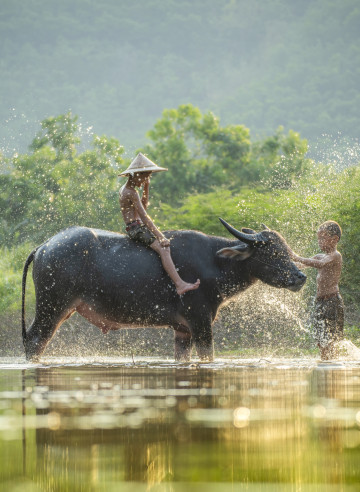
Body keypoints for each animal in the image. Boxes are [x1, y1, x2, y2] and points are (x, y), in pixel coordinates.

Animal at [21, 219, 306, 362]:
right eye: (272, 253)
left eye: (285, 249)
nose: (300, 277)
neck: (214, 262)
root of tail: (45, 246)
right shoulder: (201, 321)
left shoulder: (183, 330)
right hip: (51, 308)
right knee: (35, 341)